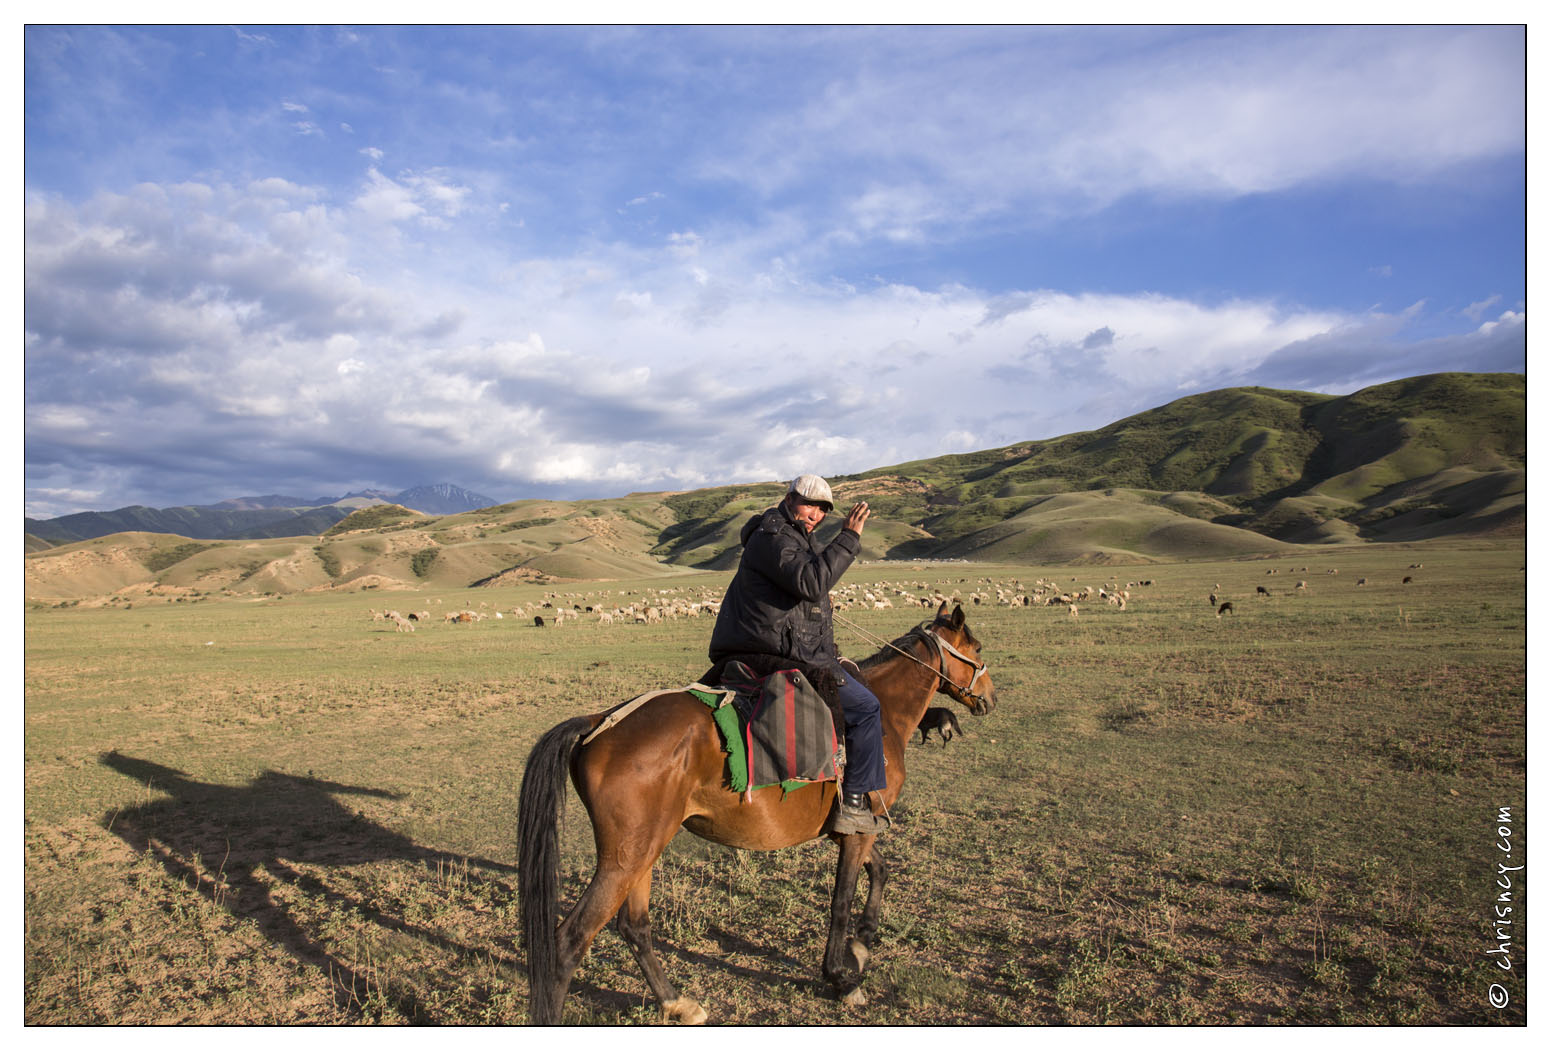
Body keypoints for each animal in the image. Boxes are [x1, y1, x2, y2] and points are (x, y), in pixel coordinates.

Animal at [514, 604, 998, 1023]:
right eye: (977, 650)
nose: (990, 698)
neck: (886, 713)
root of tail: (598, 722)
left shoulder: (855, 827)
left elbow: (880, 871)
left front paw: (861, 946)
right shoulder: (858, 830)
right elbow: (841, 900)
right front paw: (840, 978)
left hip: (642, 852)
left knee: (634, 927)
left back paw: (677, 1003)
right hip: (624, 859)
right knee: (569, 942)